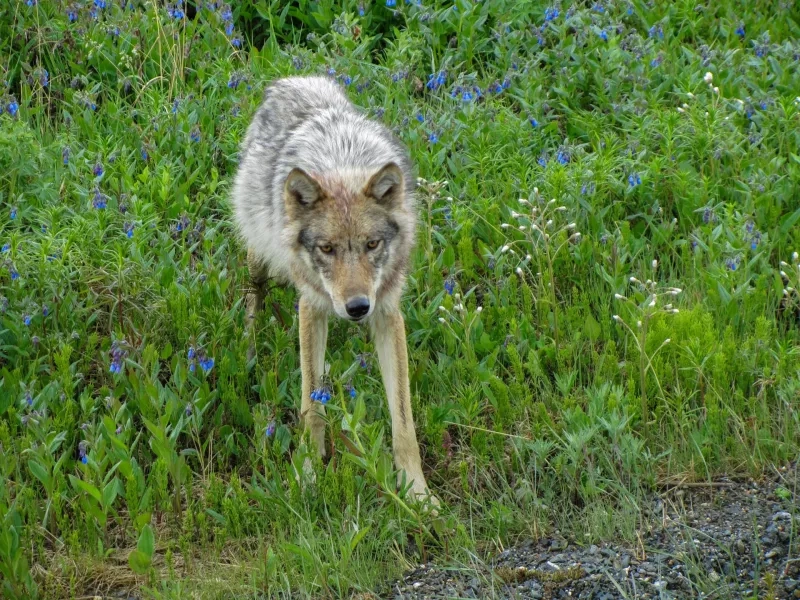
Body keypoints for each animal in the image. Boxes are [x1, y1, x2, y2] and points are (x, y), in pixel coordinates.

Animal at [230, 77, 438, 504]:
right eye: (327, 248)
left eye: (372, 244)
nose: (357, 307)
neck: (341, 166)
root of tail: (292, 79)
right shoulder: (311, 307)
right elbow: (312, 408)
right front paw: (308, 476)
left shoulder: (388, 313)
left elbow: (403, 421)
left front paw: (417, 493)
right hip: (258, 252)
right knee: (253, 294)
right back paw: (249, 347)